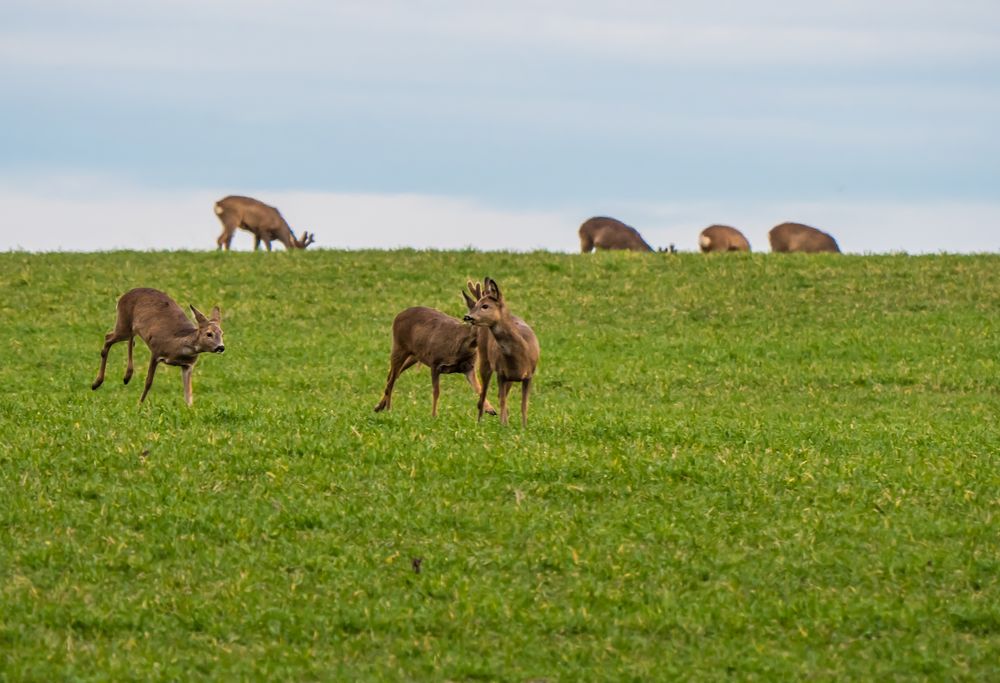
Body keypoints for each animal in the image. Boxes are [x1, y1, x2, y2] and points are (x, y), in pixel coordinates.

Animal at [91, 288, 225, 406]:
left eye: (222, 333)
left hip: (129, 328)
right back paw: (96, 383)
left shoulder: (188, 365)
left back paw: (127, 376)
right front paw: (139, 405)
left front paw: (190, 409)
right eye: (209, 334)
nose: (221, 347)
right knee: (108, 337)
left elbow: (188, 392)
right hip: (123, 324)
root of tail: (123, 297)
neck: (178, 345)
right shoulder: (156, 351)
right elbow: (148, 382)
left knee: (129, 340)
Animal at [462, 278, 540, 428]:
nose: (467, 316)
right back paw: (480, 421)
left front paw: (524, 426)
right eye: (477, 305)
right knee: (484, 394)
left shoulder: (529, 375)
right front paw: (504, 425)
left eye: (485, 306)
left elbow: (524, 404)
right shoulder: (501, 373)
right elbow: (503, 401)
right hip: (484, 360)